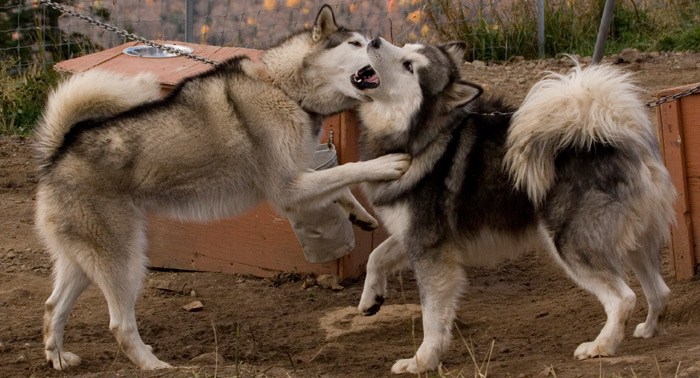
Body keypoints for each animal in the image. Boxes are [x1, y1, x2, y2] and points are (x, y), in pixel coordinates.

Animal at [35, 7, 412, 370]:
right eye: (355, 44)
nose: (381, 45)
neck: (283, 89)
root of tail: (59, 152)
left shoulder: (296, 175)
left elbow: (338, 184)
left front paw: (359, 215)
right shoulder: (286, 188)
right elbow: (348, 169)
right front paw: (386, 165)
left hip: (83, 261)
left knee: (53, 307)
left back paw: (58, 358)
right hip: (124, 260)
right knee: (120, 325)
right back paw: (154, 365)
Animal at [352, 37, 676, 374]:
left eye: (409, 66)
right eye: (404, 45)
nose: (374, 39)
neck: (428, 135)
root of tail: (613, 138)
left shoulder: (429, 250)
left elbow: (432, 317)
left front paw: (423, 361)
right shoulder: (416, 238)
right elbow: (376, 256)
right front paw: (370, 299)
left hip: (570, 244)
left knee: (623, 298)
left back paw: (601, 346)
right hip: (634, 243)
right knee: (660, 291)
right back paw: (649, 329)